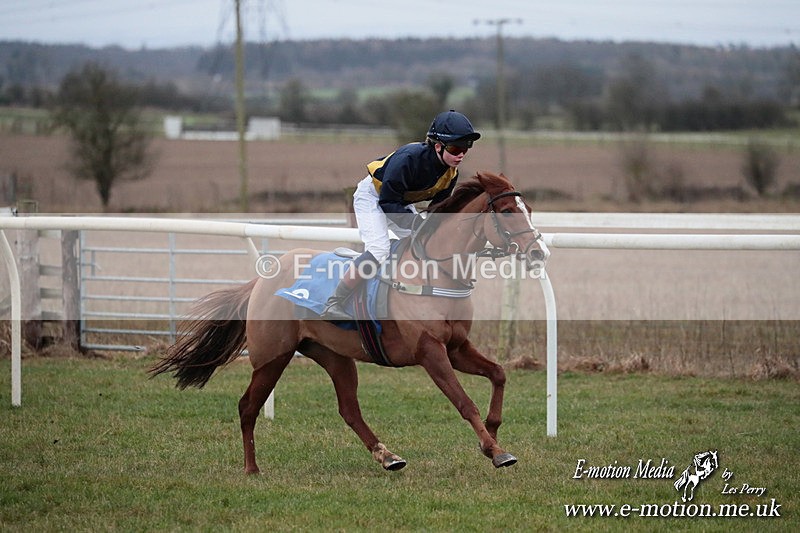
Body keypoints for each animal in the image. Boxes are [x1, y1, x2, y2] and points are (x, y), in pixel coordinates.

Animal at [149, 171, 550, 474]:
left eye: (529, 209)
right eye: (509, 211)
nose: (538, 252)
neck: (436, 270)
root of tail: (261, 280)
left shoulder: (456, 347)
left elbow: (499, 373)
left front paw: (493, 431)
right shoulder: (430, 351)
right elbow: (464, 402)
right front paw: (496, 451)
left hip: (334, 355)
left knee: (349, 409)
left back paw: (388, 457)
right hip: (271, 356)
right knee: (248, 406)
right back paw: (251, 468)